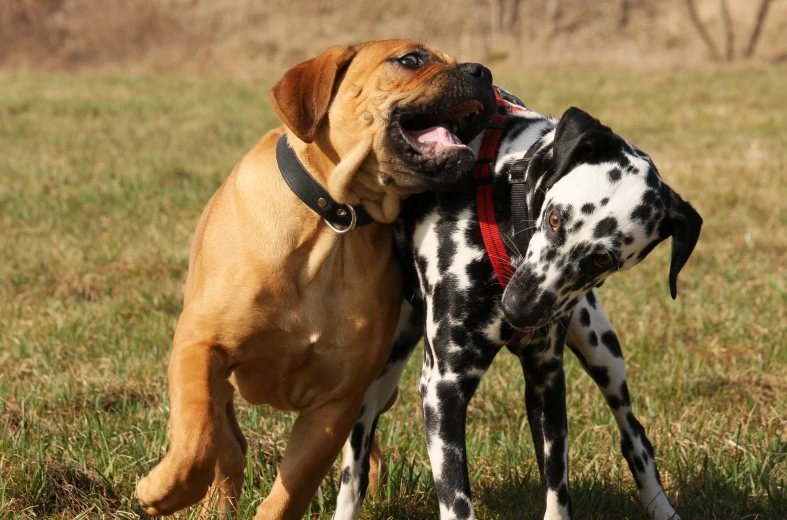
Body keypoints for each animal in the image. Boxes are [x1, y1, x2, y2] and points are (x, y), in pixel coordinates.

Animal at [135, 40, 492, 520]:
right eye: (410, 60)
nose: (483, 72)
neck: (333, 224)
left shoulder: (336, 402)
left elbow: (290, 492)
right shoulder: (200, 346)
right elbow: (197, 434)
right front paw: (164, 489)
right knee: (225, 440)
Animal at [330, 89, 700, 520]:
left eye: (602, 260)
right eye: (556, 219)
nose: (519, 311)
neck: (503, 196)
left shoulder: (546, 380)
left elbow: (557, 485)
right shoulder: (444, 388)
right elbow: (456, 501)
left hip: (601, 349)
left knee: (634, 434)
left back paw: (661, 508)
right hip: (376, 381)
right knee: (353, 470)